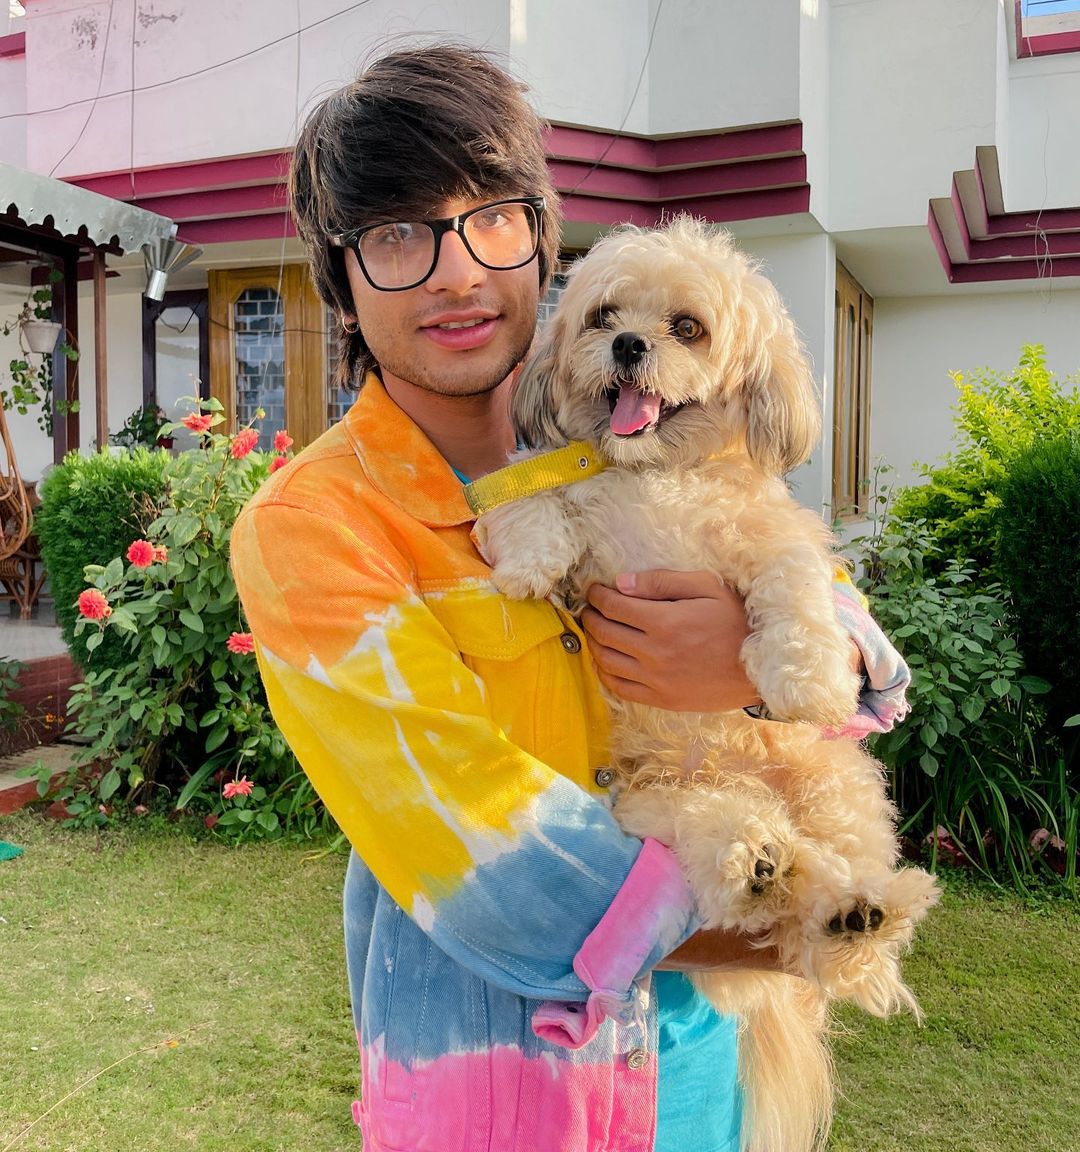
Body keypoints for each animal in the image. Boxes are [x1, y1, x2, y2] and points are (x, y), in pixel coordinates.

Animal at [476, 216, 939, 1152]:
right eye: (603, 314)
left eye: (687, 327)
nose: (629, 343)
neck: (660, 474)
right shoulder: (564, 507)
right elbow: (531, 509)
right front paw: (529, 564)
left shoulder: (772, 537)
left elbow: (797, 587)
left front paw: (809, 677)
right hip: (658, 807)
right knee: (737, 857)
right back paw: (760, 866)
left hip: (837, 787)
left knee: (827, 904)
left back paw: (855, 917)